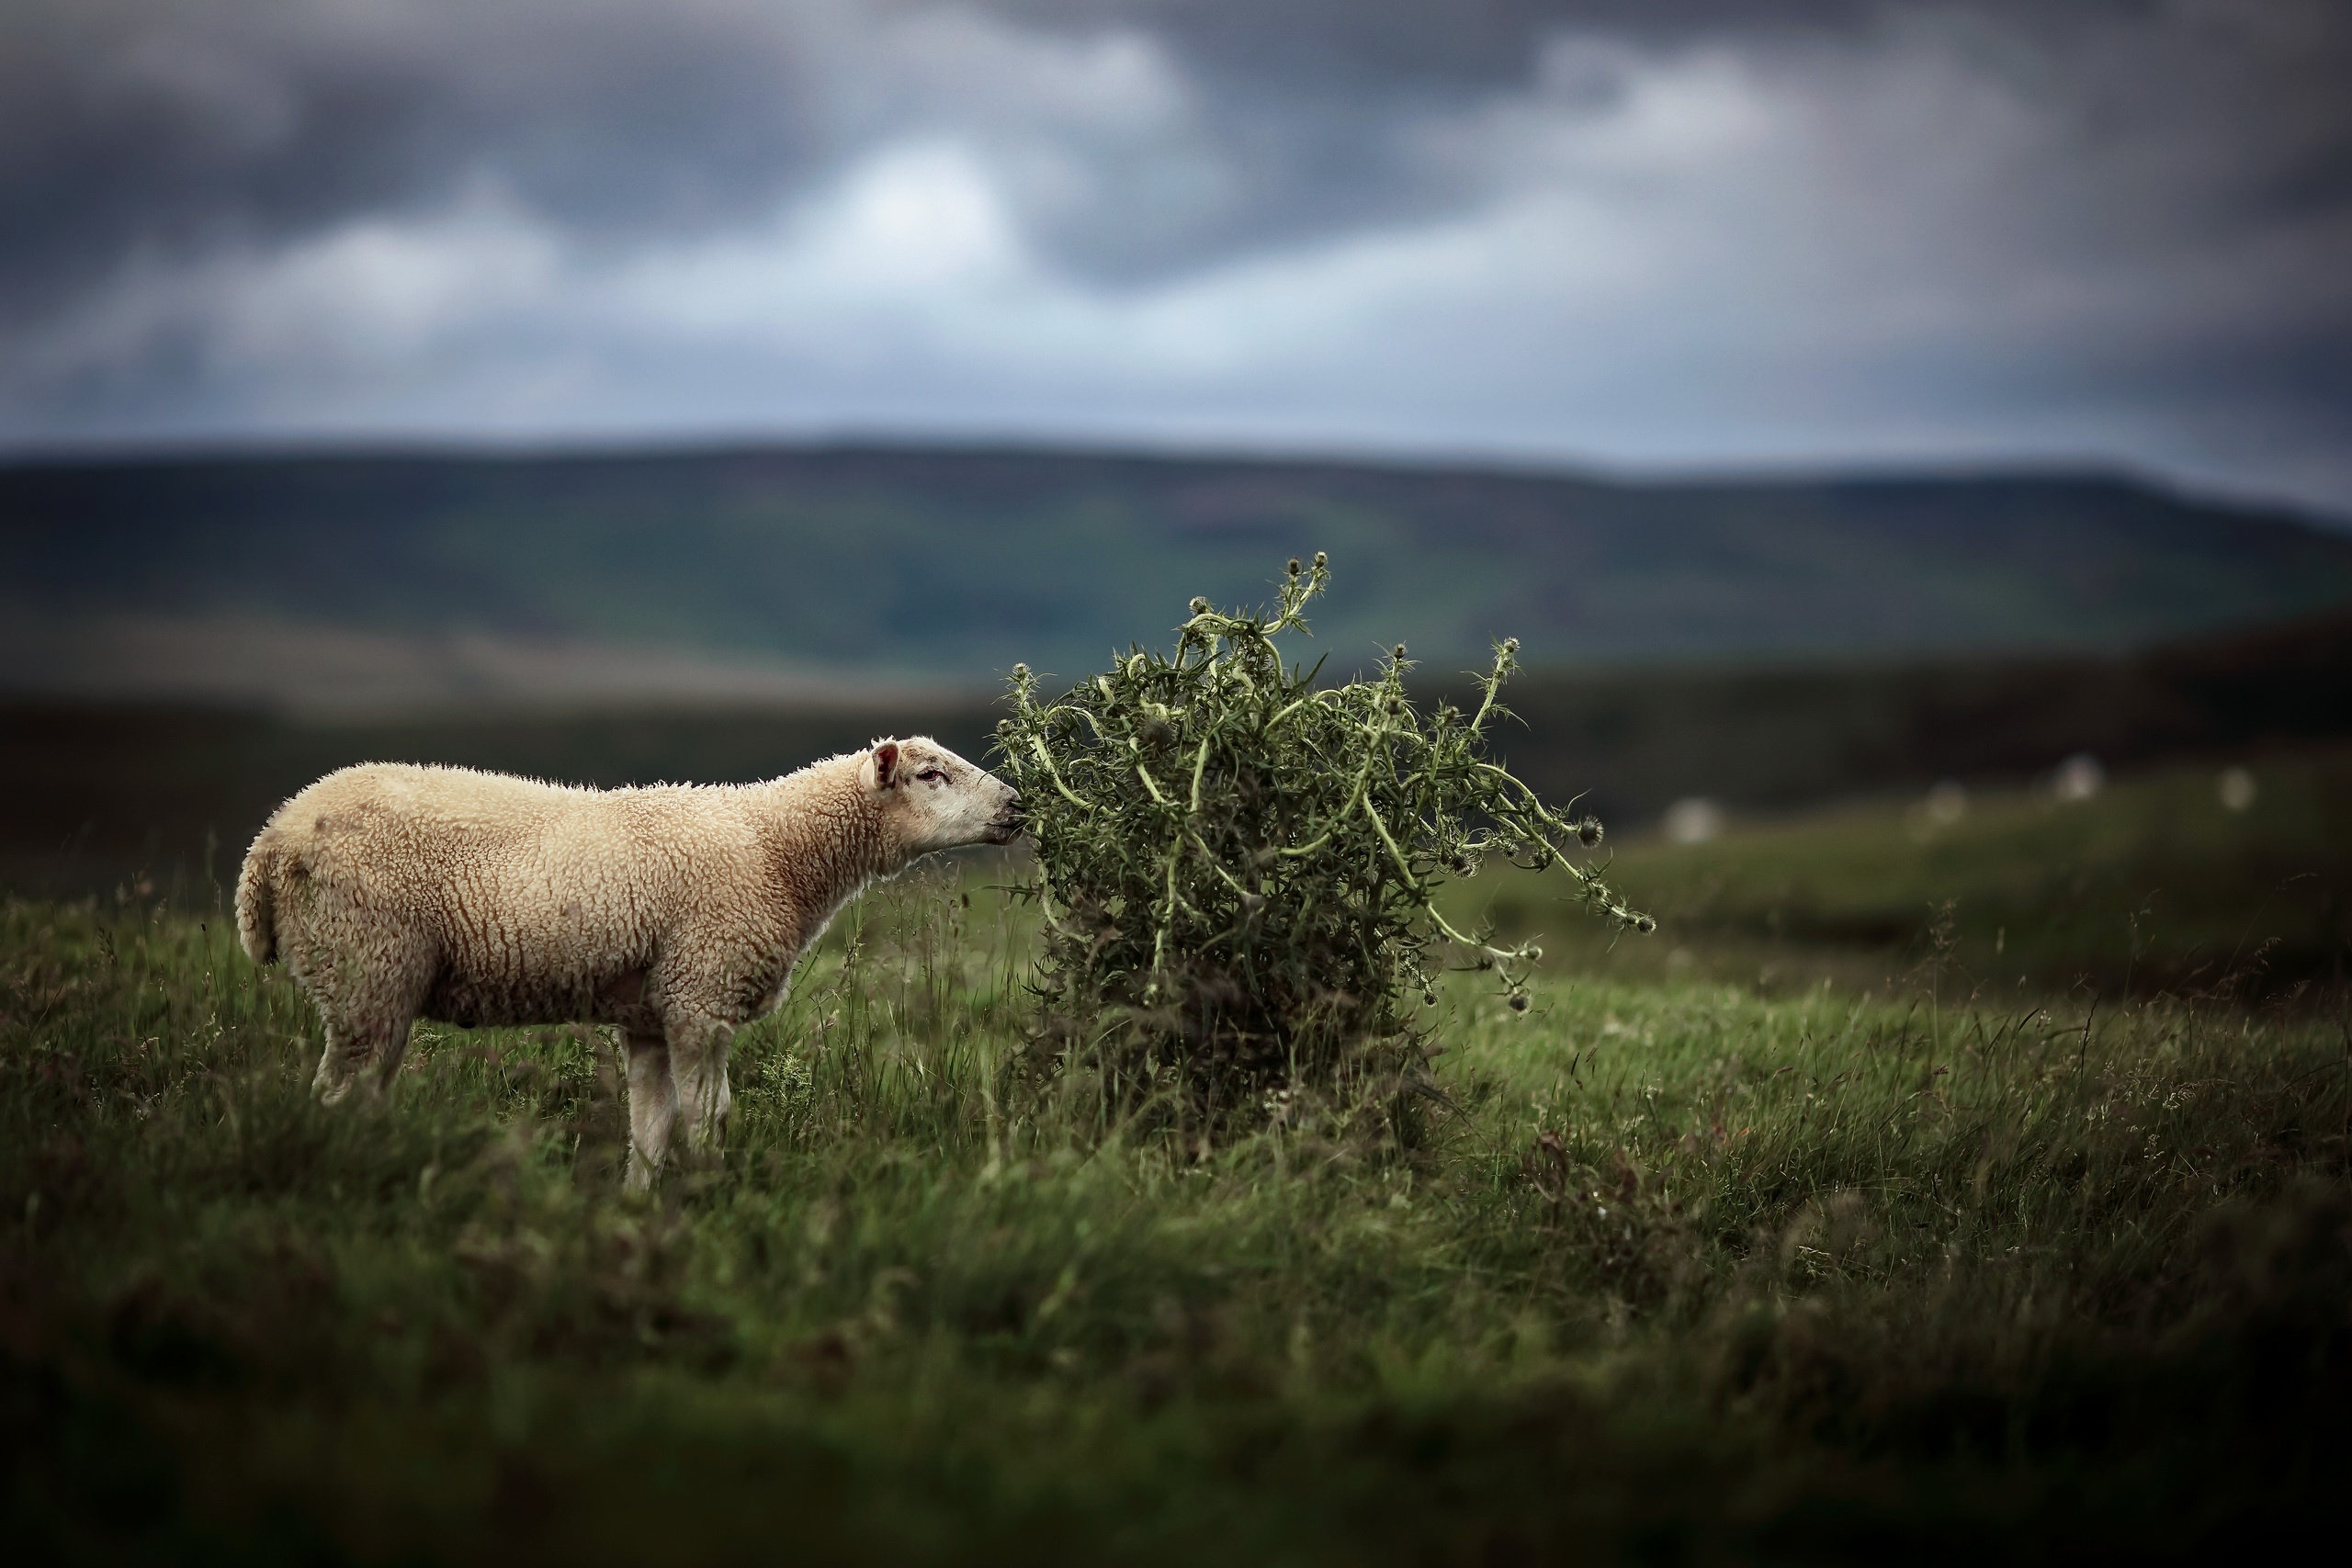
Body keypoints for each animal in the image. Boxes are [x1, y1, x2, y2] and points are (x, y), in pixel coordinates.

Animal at [232, 742, 1030, 1184]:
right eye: (931, 774)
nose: (1019, 804)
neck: (779, 848)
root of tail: (270, 842)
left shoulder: (651, 1013)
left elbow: (649, 1130)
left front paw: (639, 1208)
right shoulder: (703, 991)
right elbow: (709, 1118)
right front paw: (713, 1200)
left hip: (370, 983)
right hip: (368, 964)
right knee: (335, 1097)